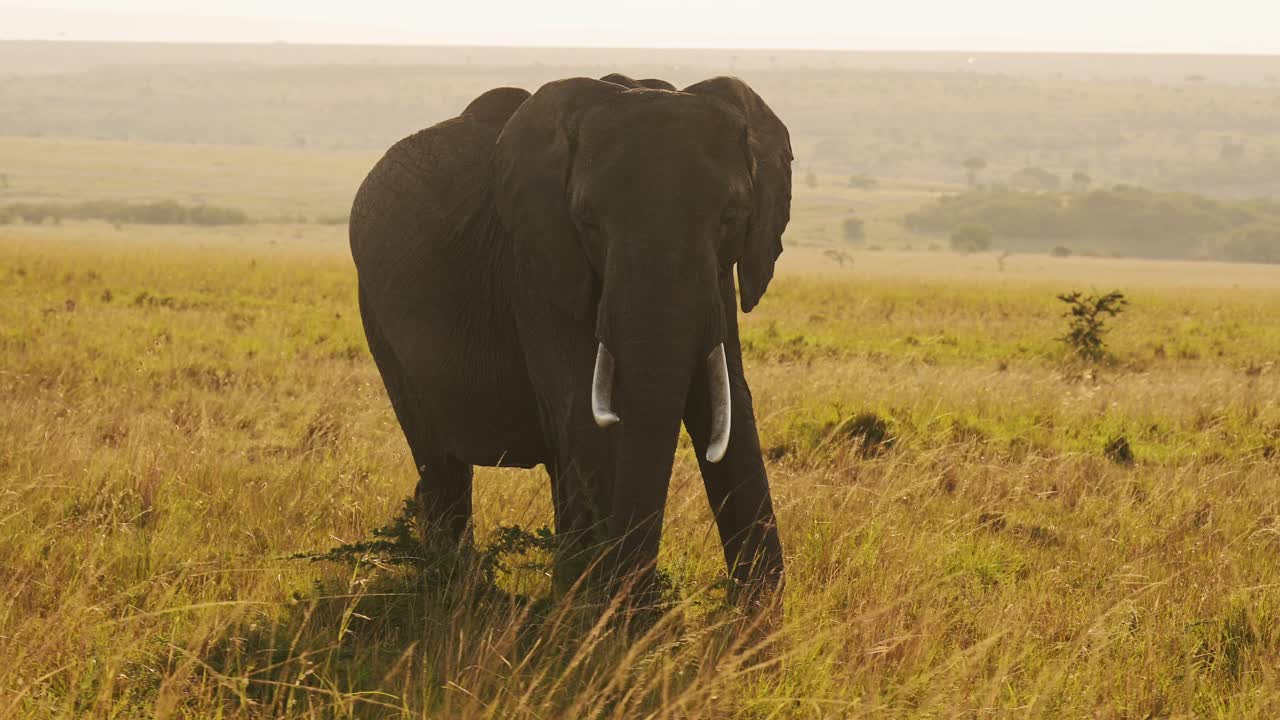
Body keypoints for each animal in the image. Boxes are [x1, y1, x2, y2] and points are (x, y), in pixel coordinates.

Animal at [349, 74, 792, 611]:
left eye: (732, 216)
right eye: (586, 222)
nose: (637, 597)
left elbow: (729, 408)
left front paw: (757, 621)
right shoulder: (537, 267)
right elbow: (586, 415)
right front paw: (608, 618)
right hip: (377, 316)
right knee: (441, 460)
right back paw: (455, 583)